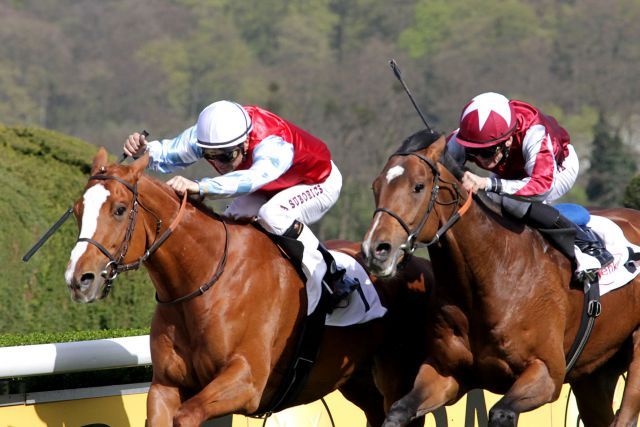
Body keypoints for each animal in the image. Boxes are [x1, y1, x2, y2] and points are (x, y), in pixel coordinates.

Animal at [62, 149, 432, 426]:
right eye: (78, 210)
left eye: (119, 209)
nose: (79, 279)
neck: (202, 280)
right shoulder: (165, 386)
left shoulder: (247, 381)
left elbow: (188, 415)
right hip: (360, 382)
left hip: (398, 377)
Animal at [362, 131, 640, 427]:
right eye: (376, 186)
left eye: (418, 186)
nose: (375, 250)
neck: (494, 274)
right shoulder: (445, 372)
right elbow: (398, 410)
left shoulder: (547, 373)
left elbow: (500, 412)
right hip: (595, 373)